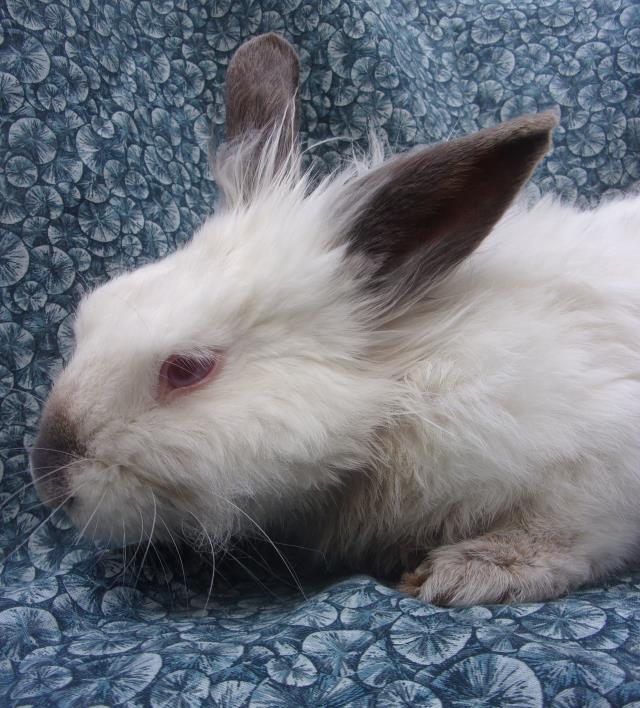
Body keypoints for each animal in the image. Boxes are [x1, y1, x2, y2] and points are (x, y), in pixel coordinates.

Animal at [30, 33, 640, 606]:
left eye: (187, 368)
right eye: (95, 310)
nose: (48, 478)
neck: (404, 383)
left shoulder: (594, 464)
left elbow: (559, 533)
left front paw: (469, 573)